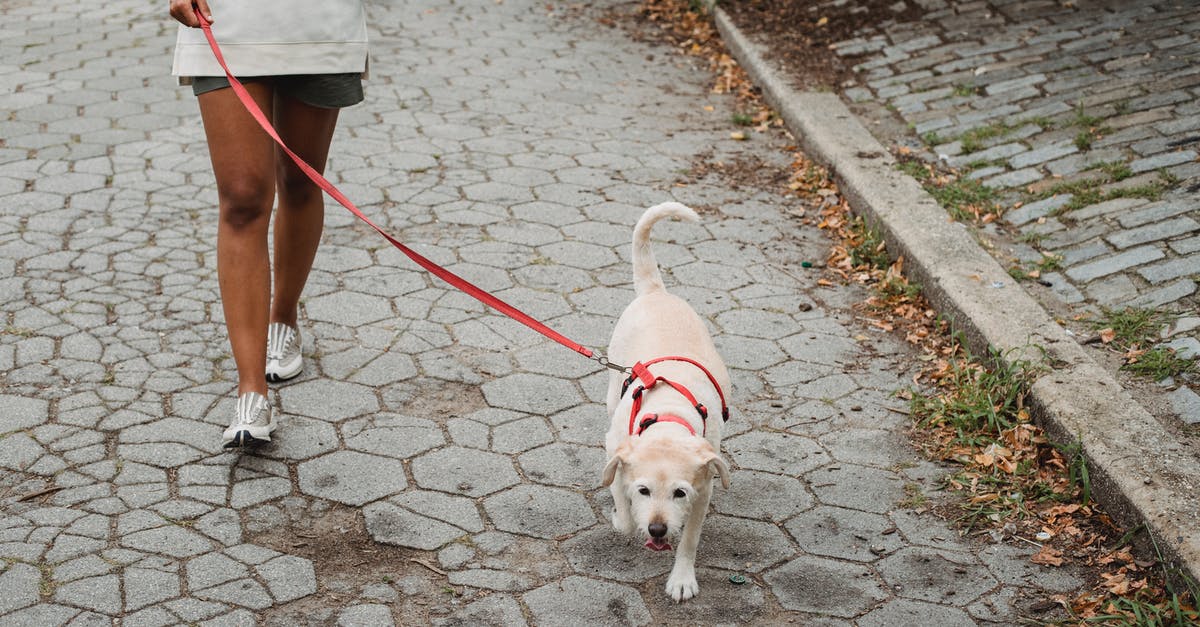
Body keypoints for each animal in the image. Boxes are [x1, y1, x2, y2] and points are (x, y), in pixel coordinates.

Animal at [600, 201, 729, 600]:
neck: (668, 417)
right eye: (644, 490)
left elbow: (689, 540)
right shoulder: (616, 452)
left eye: (678, 492)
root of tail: (656, 292)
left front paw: (682, 578)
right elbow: (625, 512)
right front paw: (622, 517)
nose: (657, 529)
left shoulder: (703, 490)